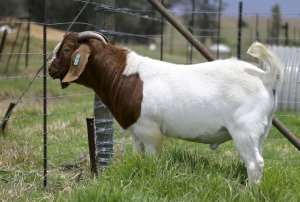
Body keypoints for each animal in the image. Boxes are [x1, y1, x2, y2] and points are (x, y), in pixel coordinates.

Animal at [48, 31, 282, 183]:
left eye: (67, 49)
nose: (50, 69)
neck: (124, 74)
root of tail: (266, 77)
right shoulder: (136, 132)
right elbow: (138, 156)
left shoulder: (149, 129)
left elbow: (152, 158)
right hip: (260, 132)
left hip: (244, 130)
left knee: (255, 163)